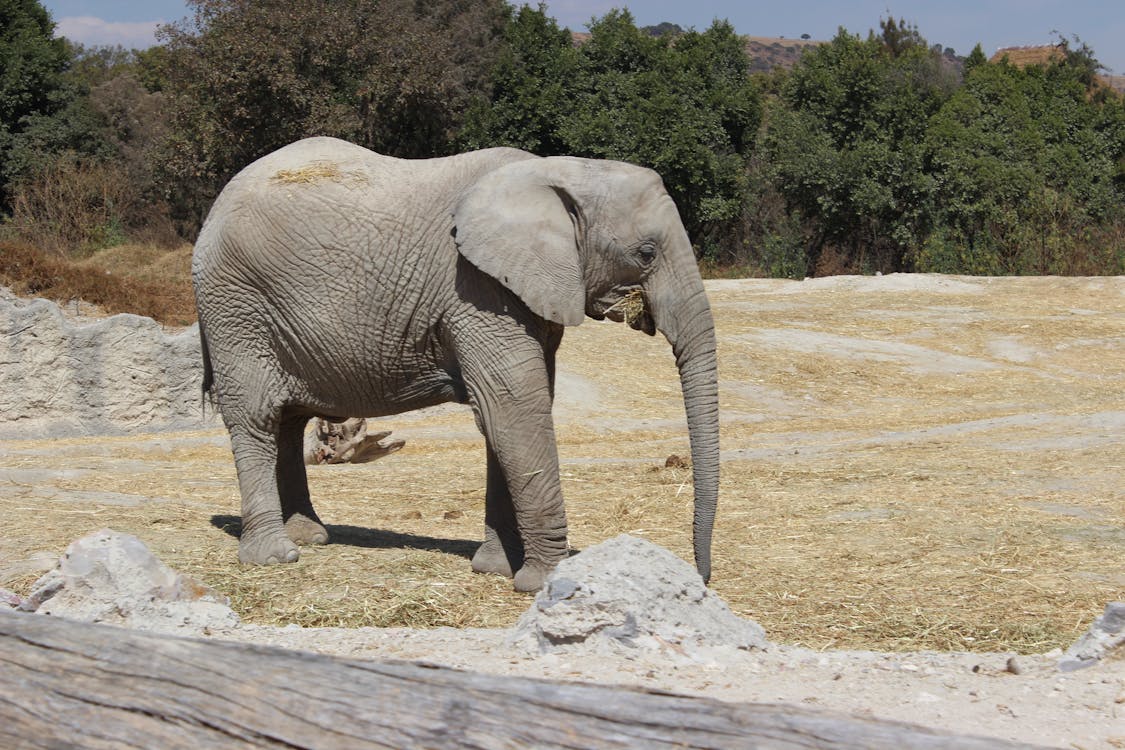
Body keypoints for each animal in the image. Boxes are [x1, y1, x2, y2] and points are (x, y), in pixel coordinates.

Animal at [191, 134, 720, 593]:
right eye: (646, 253)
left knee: (289, 421)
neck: (561, 172)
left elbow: (511, 414)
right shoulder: (476, 290)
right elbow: (513, 411)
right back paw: (275, 557)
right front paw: (544, 582)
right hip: (234, 302)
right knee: (258, 417)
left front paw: (494, 568)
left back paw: (311, 537)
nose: (702, 576)